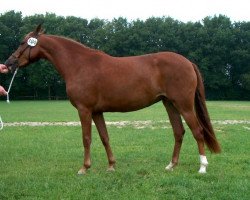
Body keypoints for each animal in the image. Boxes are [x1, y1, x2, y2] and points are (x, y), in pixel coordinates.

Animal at [4, 24, 221, 173]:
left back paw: (202, 167)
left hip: (184, 104)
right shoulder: (97, 112)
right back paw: (171, 165)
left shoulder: (84, 110)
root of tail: (187, 62)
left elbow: (86, 138)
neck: (79, 64)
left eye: (23, 43)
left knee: (198, 131)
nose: (8, 63)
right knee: (179, 132)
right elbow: (104, 137)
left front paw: (84, 168)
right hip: (170, 104)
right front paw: (111, 166)